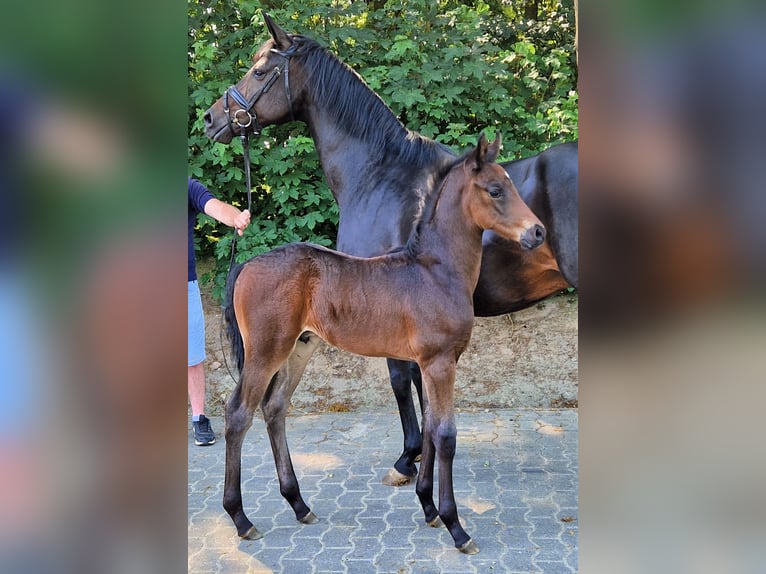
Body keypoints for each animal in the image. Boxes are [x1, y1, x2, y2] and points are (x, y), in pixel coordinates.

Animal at [204, 13, 576, 486]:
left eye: (260, 70)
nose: (211, 119)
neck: (381, 172)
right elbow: (417, 383)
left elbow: (401, 380)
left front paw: (408, 458)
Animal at [222, 133, 544, 556]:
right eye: (495, 190)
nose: (537, 233)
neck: (436, 271)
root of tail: (247, 265)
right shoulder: (440, 363)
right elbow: (445, 435)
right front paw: (456, 526)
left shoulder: (432, 363)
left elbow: (429, 427)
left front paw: (429, 509)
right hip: (266, 351)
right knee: (238, 414)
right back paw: (241, 519)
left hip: (299, 348)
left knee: (274, 408)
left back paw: (299, 505)